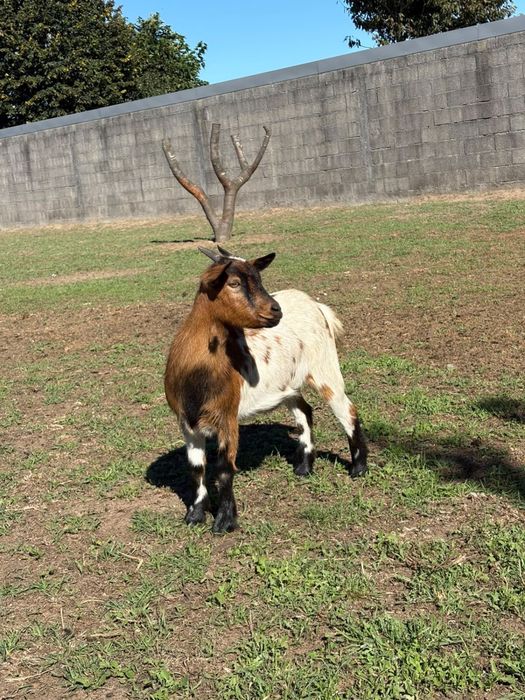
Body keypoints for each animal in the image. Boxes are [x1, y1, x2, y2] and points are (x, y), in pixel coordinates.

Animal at [164, 246, 368, 533]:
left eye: (259, 279)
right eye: (234, 283)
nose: (276, 310)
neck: (197, 373)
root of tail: (316, 305)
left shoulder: (227, 416)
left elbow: (224, 468)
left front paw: (225, 521)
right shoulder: (187, 423)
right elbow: (196, 468)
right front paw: (194, 515)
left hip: (324, 367)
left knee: (346, 409)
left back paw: (359, 468)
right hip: (288, 386)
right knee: (305, 412)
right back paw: (304, 467)